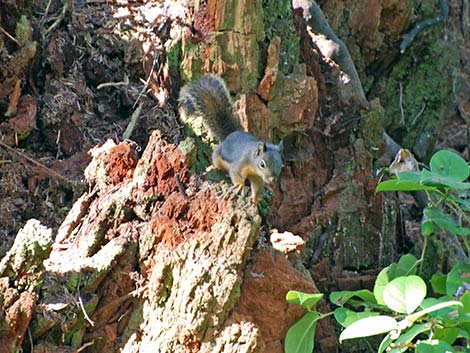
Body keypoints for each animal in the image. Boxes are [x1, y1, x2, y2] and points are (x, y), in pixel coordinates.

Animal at [179, 75, 282, 204]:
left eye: (281, 164)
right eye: (262, 164)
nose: (272, 179)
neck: (253, 166)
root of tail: (231, 135)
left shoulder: (257, 178)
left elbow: (257, 187)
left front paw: (255, 200)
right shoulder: (239, 164)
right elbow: (236, 174)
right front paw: (240, 186)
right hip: (218, 155)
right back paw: (213, 167)